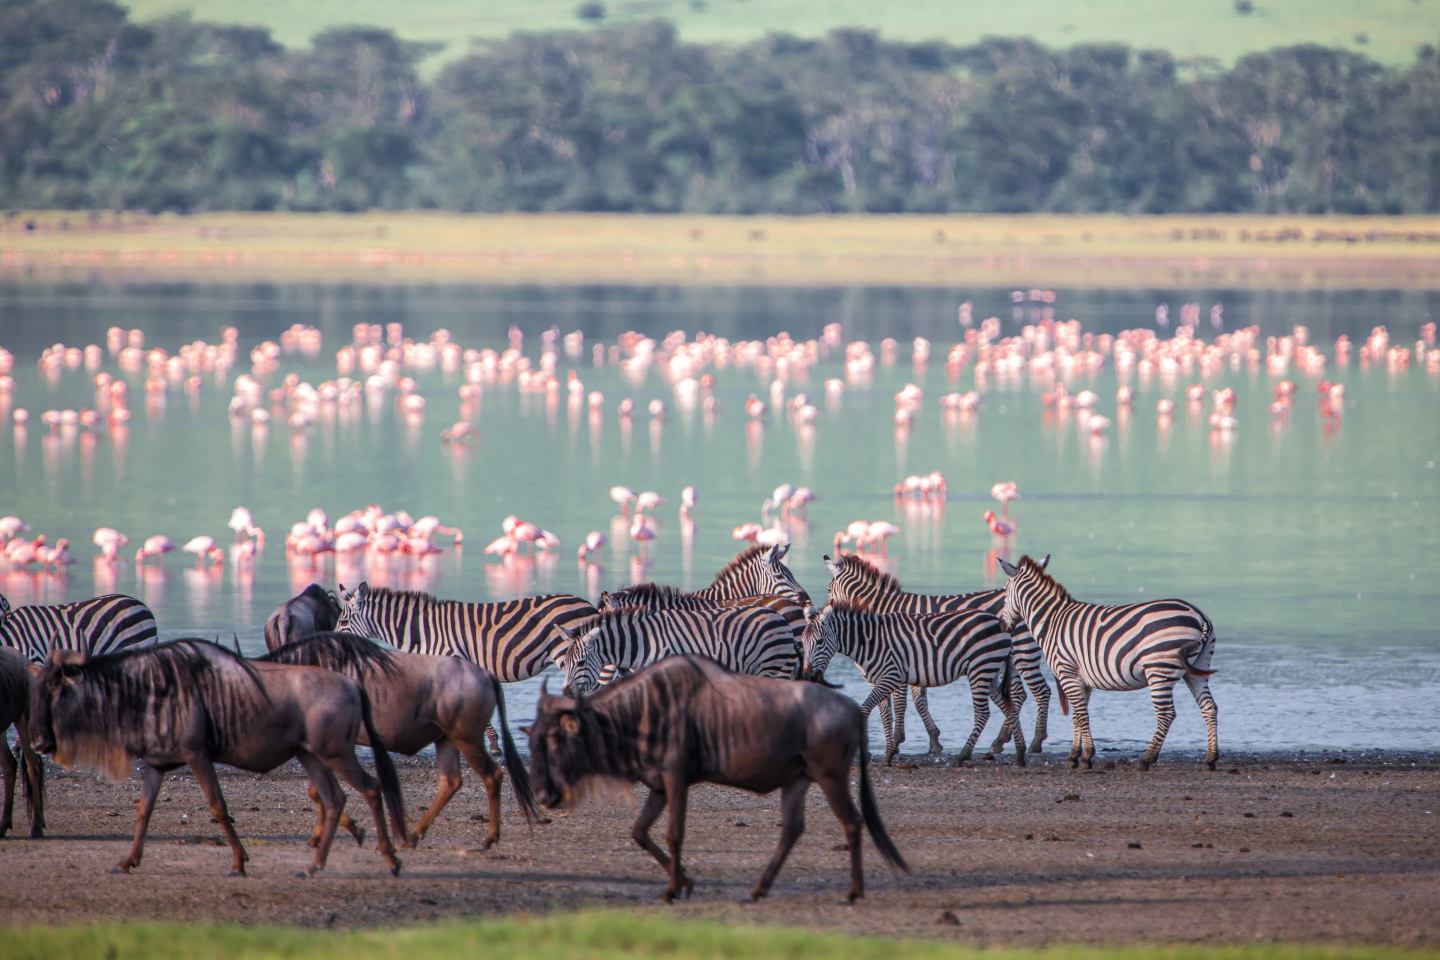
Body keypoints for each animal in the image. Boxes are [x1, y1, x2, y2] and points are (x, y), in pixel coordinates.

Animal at [554, 605, 797, 696]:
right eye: (564, 664)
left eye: (581, 663)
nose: (565, 692)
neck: (642, 642)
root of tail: (779, 617)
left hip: (772, 667)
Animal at [800, 601, 1025, 766]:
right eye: (802, 642)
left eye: (819, 642)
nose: (809, 677)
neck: (869, 641)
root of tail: (999, 623)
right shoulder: (877, 681)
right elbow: (885, 716)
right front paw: (888, 753)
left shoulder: (891, 677)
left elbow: (865, 710)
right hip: (990, 672)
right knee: (1009, 707)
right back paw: (1020, 754)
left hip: (980, 669)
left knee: (983, 713)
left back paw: (962, 756)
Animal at [823, 553, 1050, 756]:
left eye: (828, 589)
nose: (821, 612)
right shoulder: (918, 661)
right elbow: (918, 701)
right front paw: (934, 740)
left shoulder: (900, 660)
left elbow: (901, 703)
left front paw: (897, 742)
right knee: (1019, 694)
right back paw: (1002, 740)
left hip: (1022, 653)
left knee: (1040, 691)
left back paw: (1035, 741)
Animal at [997, 554, 1218, 770]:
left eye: (1005, 592)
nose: (1001, 624)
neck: (1052, 621)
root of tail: (1199, 616)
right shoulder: (1081, 679)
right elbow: (1078, 715)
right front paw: (1075, 755)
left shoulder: (1067, 672)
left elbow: (1081, 714)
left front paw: (1087, 756)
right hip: (1197, 668)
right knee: (1209, 707)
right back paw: (1211, 758)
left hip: (1159, 669)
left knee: (1166, 714)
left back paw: (1146, 759)